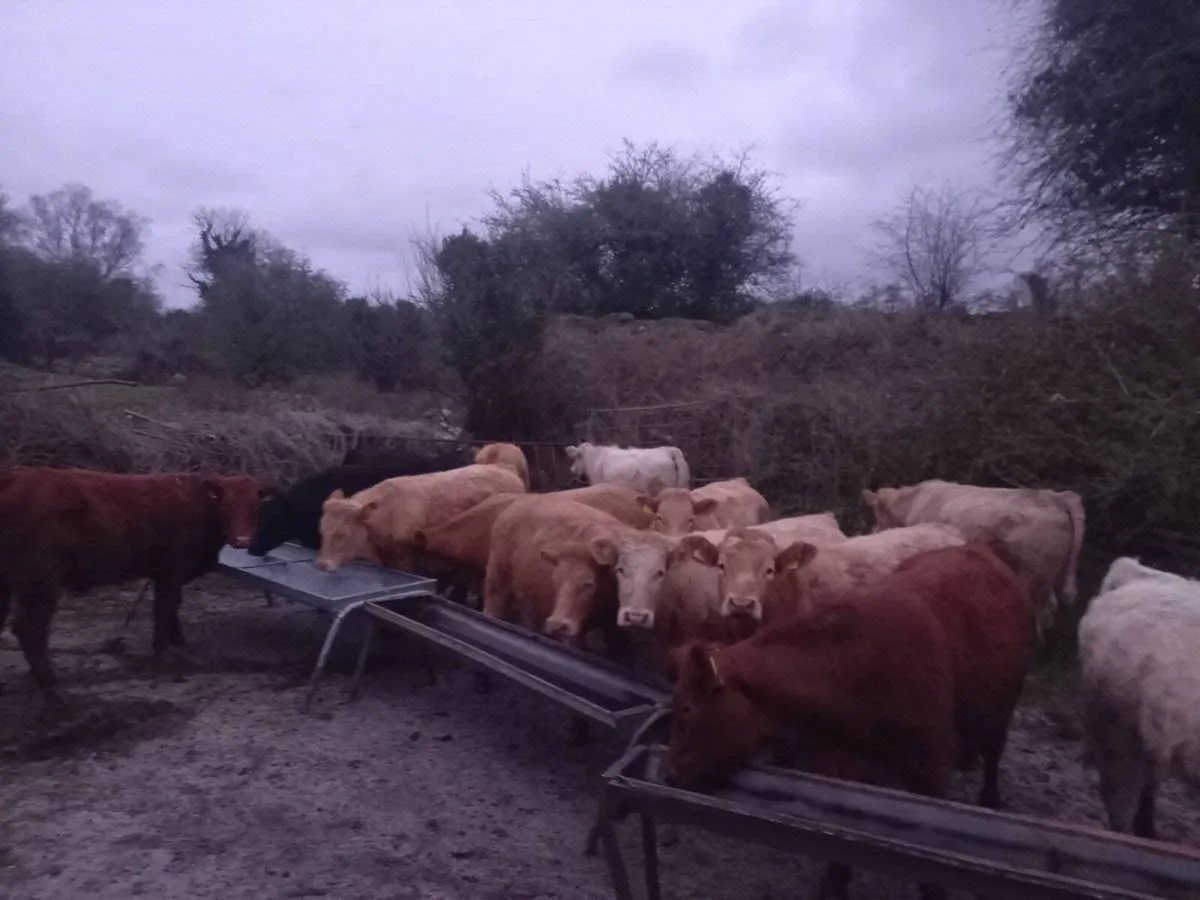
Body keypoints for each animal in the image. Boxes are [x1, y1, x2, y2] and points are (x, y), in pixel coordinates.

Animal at [0, 467, 266, 703]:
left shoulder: (168, 574)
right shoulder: (170, 570)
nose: (242, 540)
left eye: (256, 507)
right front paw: (162, 654)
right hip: (40, 581)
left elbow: (173, 608)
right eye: (226, 505)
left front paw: (179, 643)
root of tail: (15, 475)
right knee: (29, 629)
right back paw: (52, 688)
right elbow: (164, 610)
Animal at [862, 479, 1085, 635]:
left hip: (1035, 571)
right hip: (1059, 571)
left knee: (1044, 609)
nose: (873, 531)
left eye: (878, 516)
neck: (913, 504)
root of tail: (1055, 497)